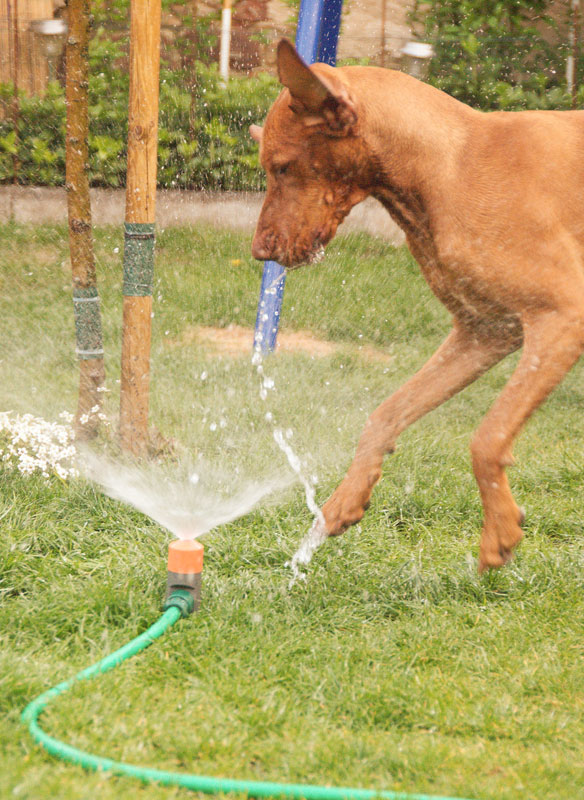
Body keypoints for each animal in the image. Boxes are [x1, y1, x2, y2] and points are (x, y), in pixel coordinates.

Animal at [250, 40, 584, 572]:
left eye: (281, 166)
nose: (258, 252)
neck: (449, 166)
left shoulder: (561, 316)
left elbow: (487, 438)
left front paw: (500, 531)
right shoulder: (484, 331)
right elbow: (384, 415)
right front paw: (342, 502)